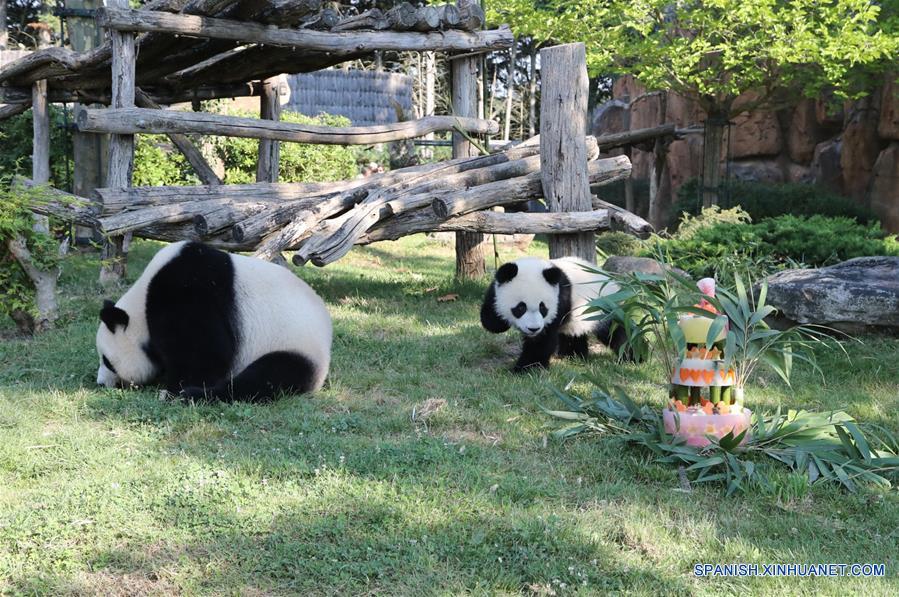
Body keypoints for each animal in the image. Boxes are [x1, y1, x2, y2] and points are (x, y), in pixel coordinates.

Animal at [96, 241, 334, 400]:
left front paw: (176, 388)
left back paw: (194, 395)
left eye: (107, 361)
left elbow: (206, 353)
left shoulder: (186, 294)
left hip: (293, 344)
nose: (100, 383)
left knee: (267, 377)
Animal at [482, 258, 628, 372]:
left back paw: (628, 357)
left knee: (616, 333)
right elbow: (490, 321)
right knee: (573, 335)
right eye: (521, 307)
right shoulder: (495, 289)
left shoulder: (560, 298)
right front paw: (499, 322)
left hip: (604, 308)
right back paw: (573, 356)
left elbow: (542, 340)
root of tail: (612, 281)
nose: (533, 329)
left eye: (543, 307)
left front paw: (526, 369)